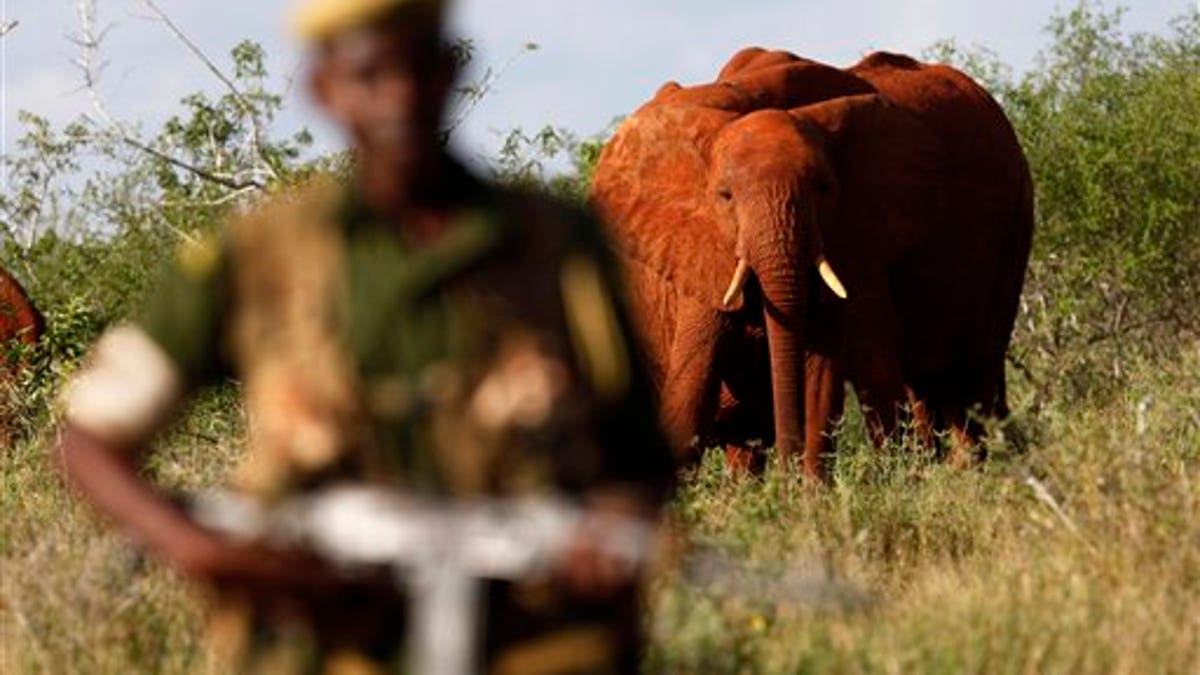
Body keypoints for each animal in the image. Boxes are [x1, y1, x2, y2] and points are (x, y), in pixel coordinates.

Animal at [590, 47, 1032, 475]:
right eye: (725, 196)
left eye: (823, 188)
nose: (785, 480)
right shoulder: (703, 249)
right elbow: (690, 388)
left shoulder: (854, 235)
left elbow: (828, 378)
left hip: (1014, 224)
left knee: (971, 380)